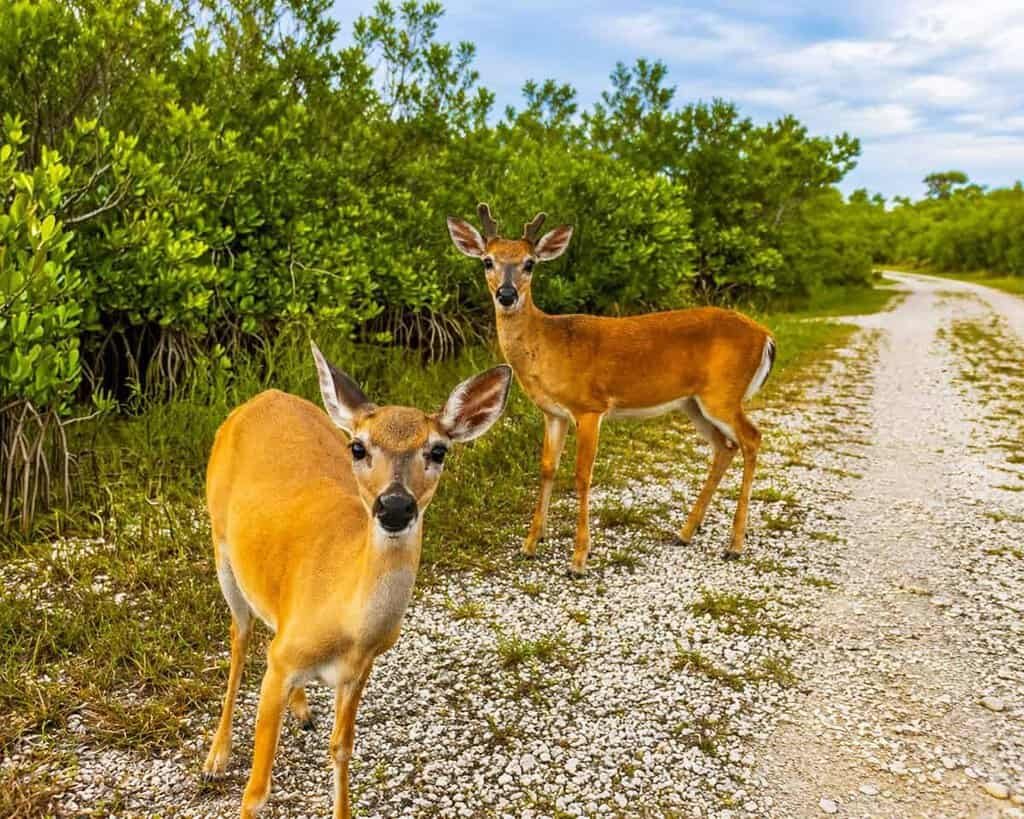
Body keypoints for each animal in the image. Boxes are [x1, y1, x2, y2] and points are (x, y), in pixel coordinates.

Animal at [201, 341, 512, 818]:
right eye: (359, 448)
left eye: (439, 450)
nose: (395, 506)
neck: (348, 621)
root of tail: (263, 396)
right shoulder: (281, 665)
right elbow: (256, 791)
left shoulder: (358, 669)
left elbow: (342, 748)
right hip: (221, 547)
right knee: (239, 637)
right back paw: (216, 756)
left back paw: (301, 711)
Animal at [447, 204, 776, 577]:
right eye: (487, 260)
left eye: (530, 263)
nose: (506, 295)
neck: (548, 345)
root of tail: (765, 336)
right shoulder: (553, 413)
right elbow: (546, 469)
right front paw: (529, 544)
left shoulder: (590, 406)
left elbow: (582, 475)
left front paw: (578, 559)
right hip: (694, 403)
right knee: (725, 446)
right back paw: (685, 533)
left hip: (722, 394)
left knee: (752, 438)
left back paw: (734, 545)